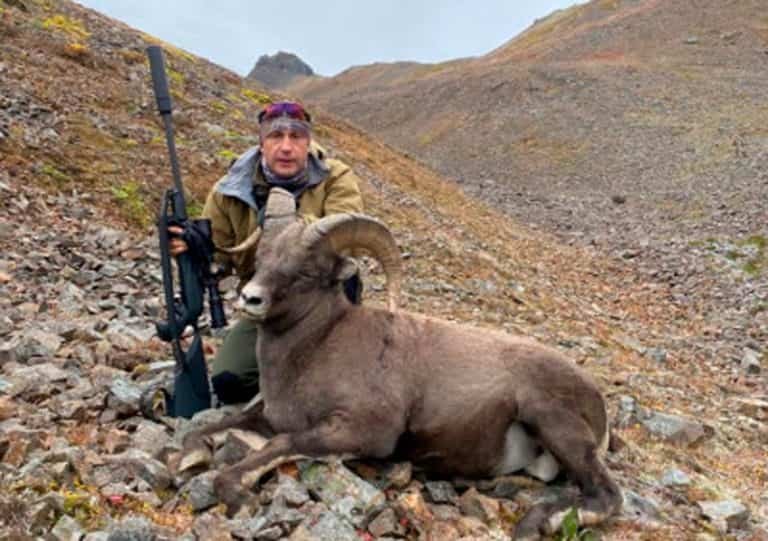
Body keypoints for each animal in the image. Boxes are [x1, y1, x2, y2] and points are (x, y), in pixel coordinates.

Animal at [180, 187, 622, 540]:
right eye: (263, 258)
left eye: (305, 272)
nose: (250, 299)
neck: (316, 349)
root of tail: (597, 401)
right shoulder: (266, 416)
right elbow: (211, 428)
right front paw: (193, 456)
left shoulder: (363, 430)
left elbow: (280, 446)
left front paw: (237, 493)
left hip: (551, 420)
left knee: (609, 495)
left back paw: (535, 523)